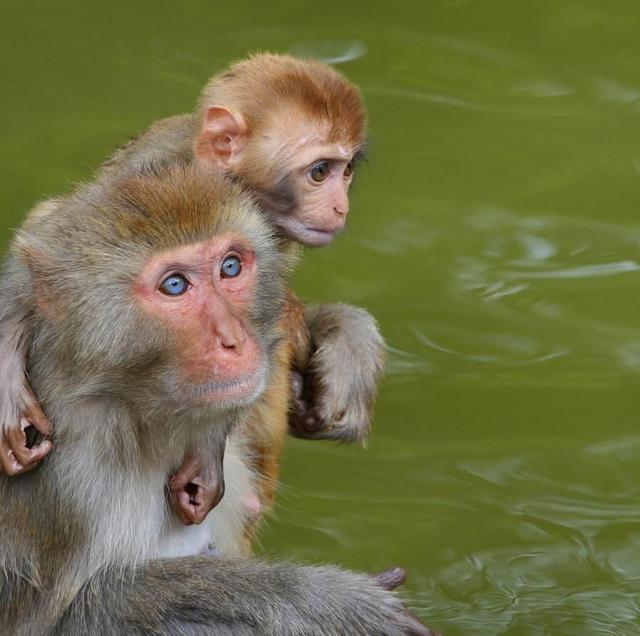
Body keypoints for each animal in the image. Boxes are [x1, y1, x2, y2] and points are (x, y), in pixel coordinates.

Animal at [0, 165, 432, 636]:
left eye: (230, 267)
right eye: (174, 285)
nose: (234, 339)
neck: (126, 413)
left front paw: (346, 342)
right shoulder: (65, 483)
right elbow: (78, 615)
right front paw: (328, 601)